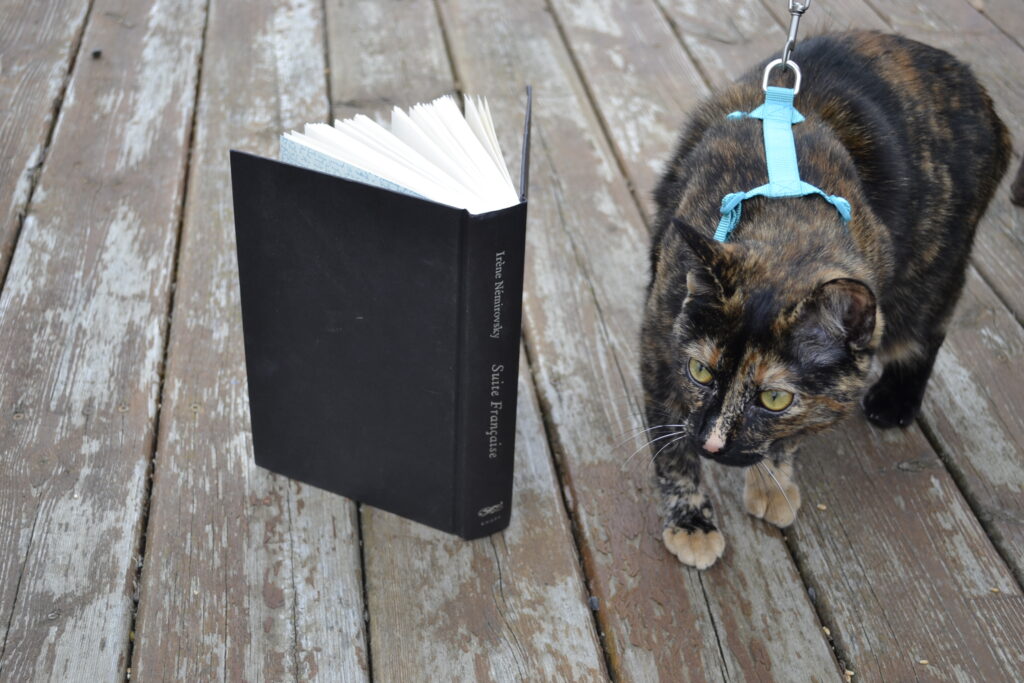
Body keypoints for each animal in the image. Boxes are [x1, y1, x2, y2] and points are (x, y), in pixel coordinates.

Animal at [638, 29, 1007, 569]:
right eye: (701, 372)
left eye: (774, 398)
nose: (711, 444)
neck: (785, 216)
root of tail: (967, 78)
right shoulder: (660, 345)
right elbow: (670, 448)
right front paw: (690, 521)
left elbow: (787, 436)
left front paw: (772, 478)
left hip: (932, 268)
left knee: (928, 328)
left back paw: (895, 400)